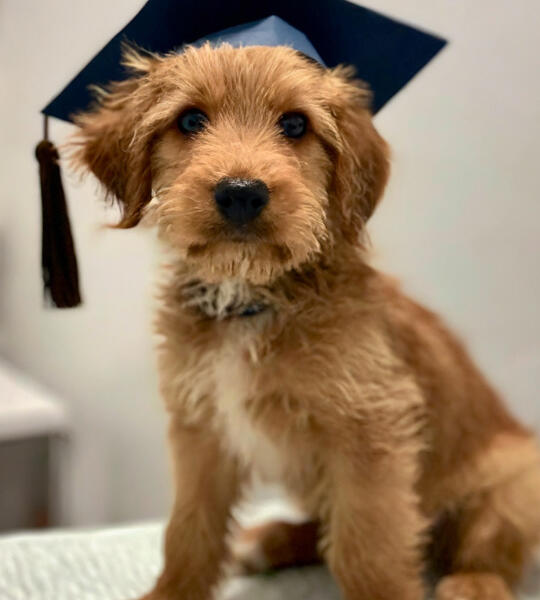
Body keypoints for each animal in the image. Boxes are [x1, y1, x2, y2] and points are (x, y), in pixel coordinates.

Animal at [70, 43, 540, 600]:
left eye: (295, 124)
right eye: (190, 120)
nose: (242, 192)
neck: (250, 301)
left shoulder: (371, 436)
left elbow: (366, 549)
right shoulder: (201, 432)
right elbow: (189, 528)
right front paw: (172, 592)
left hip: (514, 486)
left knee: (487, 550)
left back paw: (472, 585)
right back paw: (270, 540)